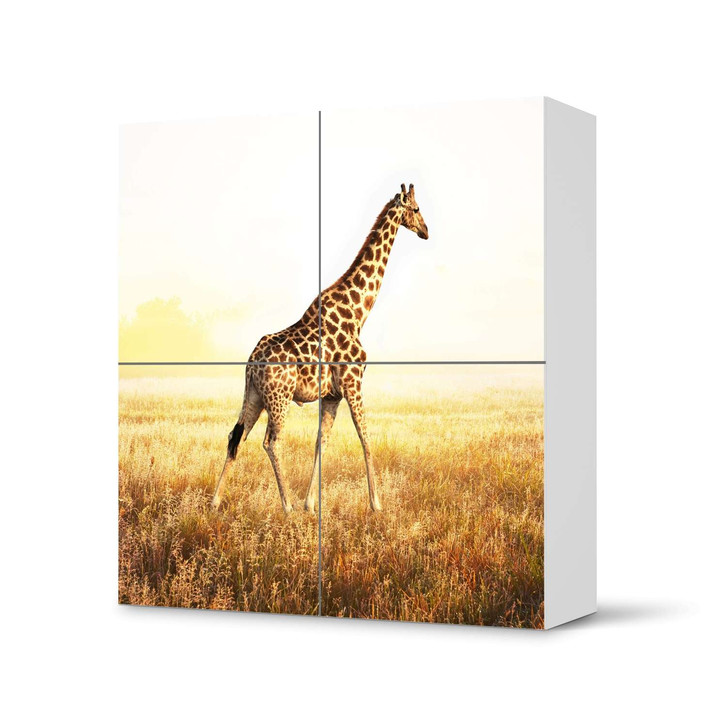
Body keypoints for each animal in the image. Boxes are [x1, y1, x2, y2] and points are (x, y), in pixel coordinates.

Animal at [212, 183, 429, 514]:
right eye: (416, 209)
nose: (426, 231)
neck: (358, 311)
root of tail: (251, 363)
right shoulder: (353, 382)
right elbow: (365, 437)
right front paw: (376, 504)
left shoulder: (332, 394)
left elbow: (320, 442)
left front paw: (311, 504)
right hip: (279, 398)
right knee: (270, 441)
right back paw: (286, 505)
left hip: (254, 396)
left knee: (236, 436)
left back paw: (215, 501)